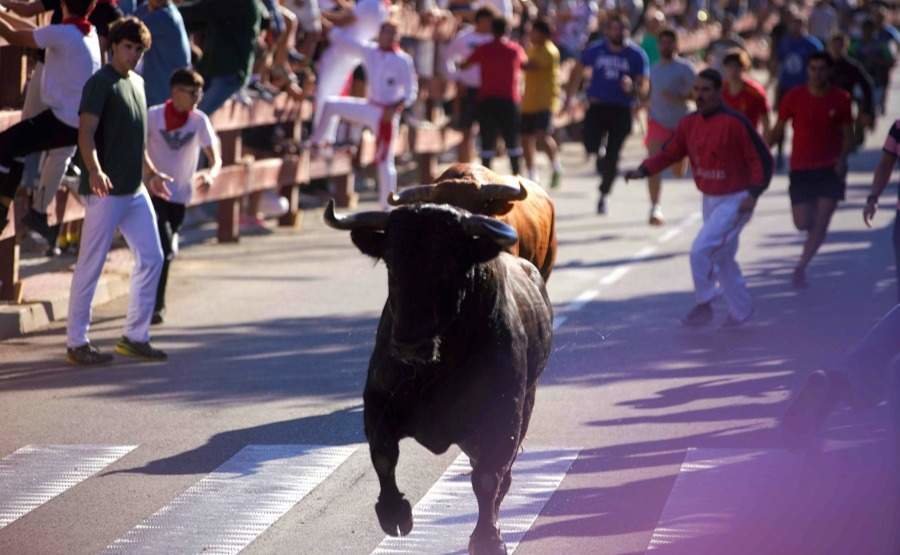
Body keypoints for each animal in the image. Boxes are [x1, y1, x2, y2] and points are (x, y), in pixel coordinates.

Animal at [320, 201, 552, 555]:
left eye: (447, 263)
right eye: (391, 262)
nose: (409, 343)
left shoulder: (502, 418)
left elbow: (487, 477)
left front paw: (487, 539)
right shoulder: (378, 403)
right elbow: (384, 456)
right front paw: (394, 515)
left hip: (527, 402)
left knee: (499, 474)